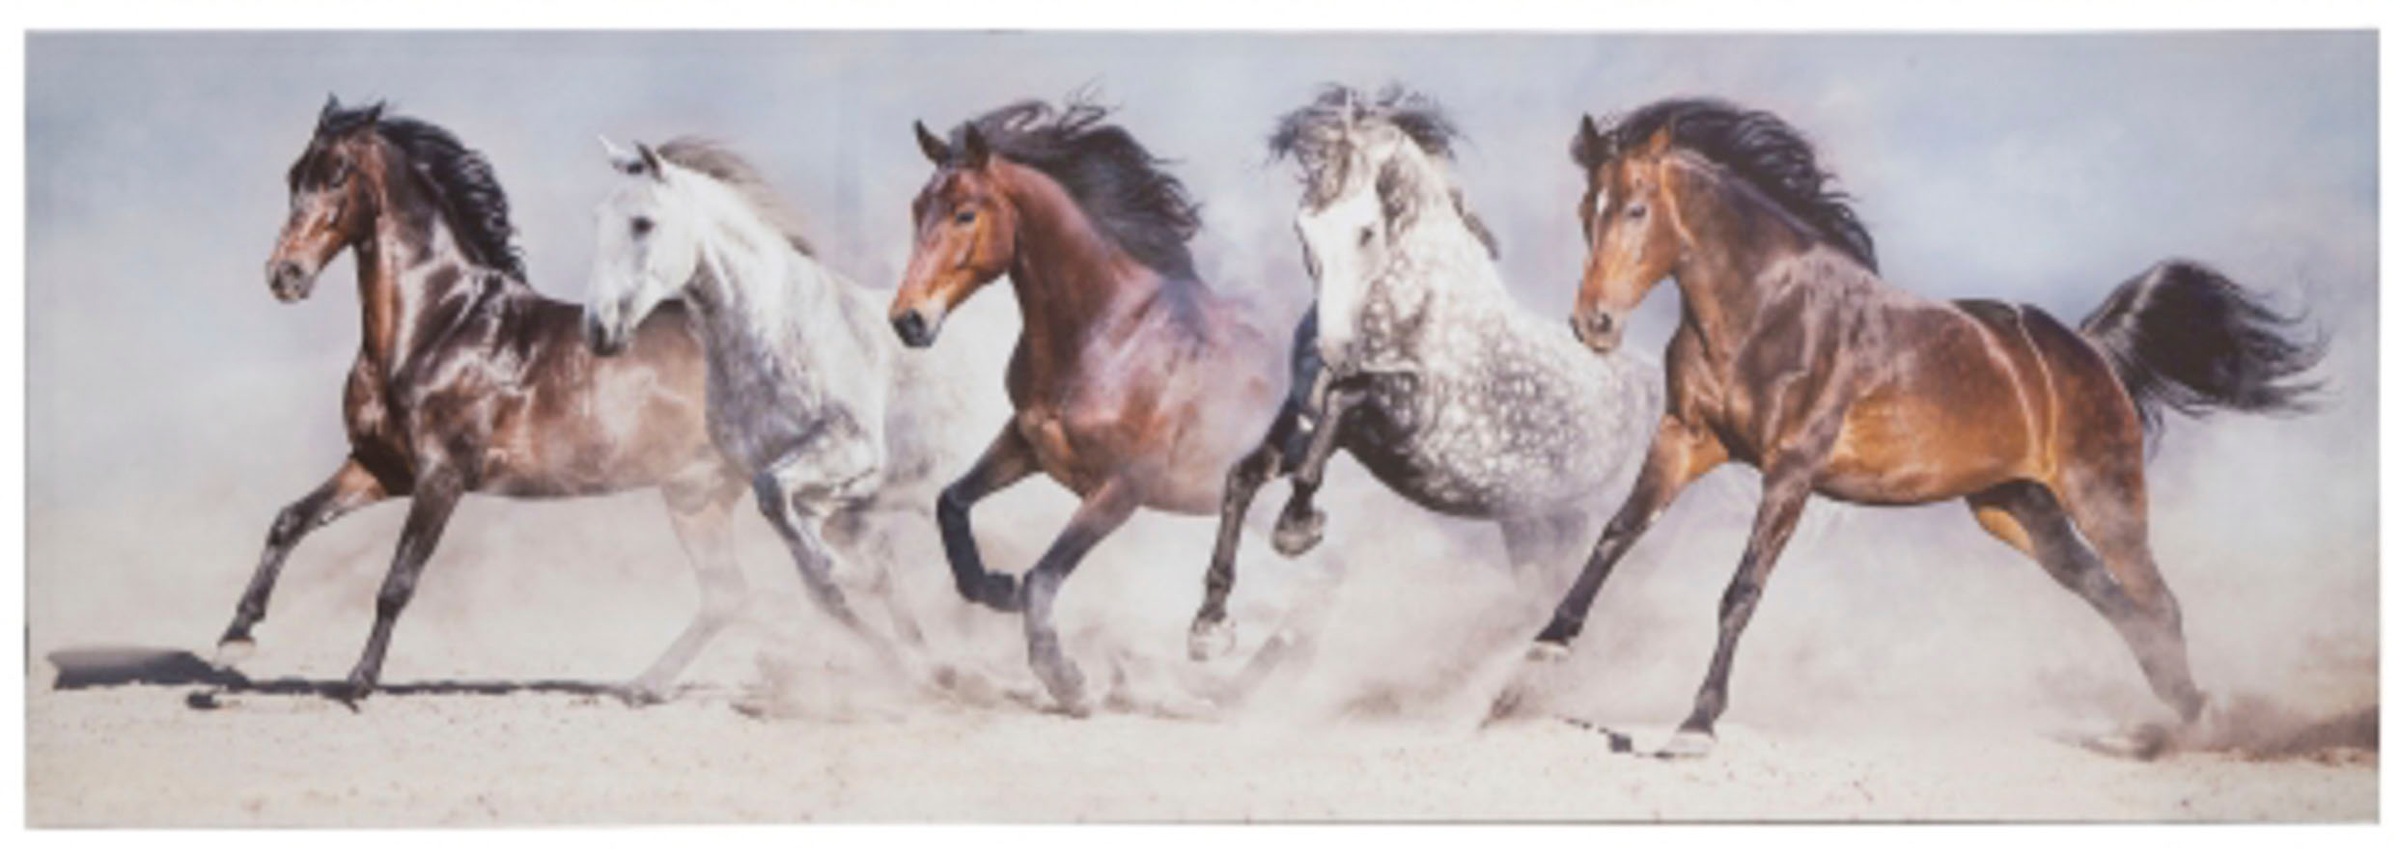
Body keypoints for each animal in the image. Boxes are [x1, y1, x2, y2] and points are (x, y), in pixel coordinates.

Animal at [225, 96, 748, 704]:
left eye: (337, 175)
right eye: (294, 176)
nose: (284, 275)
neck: (438, 326)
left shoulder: (442, 477)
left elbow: (397, 583)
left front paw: (359, 681)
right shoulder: (381, 467)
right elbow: (290, 521)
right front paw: (238, 634)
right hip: (697, 497)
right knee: (726, 598)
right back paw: (640, 687)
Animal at [585, 137, 946, 677]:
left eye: (642, 223)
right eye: (598, 220)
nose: (598, 330)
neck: (778, 326)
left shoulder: (850, 448)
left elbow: (786, 509)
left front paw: (839, 573)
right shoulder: (810, 485)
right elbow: (823, 570)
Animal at [890, 98, 1286, 711]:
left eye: (965, 213)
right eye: (917, 209)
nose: (908, 320)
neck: (1107, 334)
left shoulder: (1123, 486)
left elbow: (1044, 577)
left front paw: (1066, 680)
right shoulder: (1028, 442)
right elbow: (951, 504)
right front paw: (996, 586)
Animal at [1185, 86, 1660, 669]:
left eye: (1366, 231)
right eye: (1304, 228)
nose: (1334, 351)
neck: (1416, 304)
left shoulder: (1408, 413)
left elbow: (1344, 404)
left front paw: (1296, 528)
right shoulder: (1311, 426)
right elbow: (1244, 476)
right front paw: (1209, 625)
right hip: (1534, 523)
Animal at [1531, 97, 2324, 756]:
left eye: (1636, 210)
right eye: (1585, 210)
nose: (1593, 324)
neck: (1766, 310)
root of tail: (2090, 349)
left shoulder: (1791, 471)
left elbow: (1742, 590)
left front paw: (1696, 725)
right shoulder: (1687, 438)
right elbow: (1618, 532)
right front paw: (1546, 646)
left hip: (2103, 495)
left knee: (2157, 602)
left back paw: (2199, 725)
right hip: (2016, 510)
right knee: (2111, 597)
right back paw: (2181, 710)